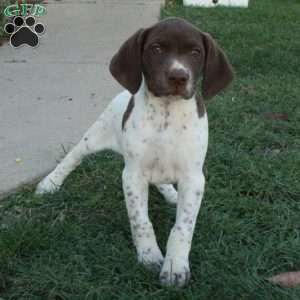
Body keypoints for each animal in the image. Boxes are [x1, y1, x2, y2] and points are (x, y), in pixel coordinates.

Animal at [36, 17, 233, 288]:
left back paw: (171, 193)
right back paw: (50, 182)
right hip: (94, 137)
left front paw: (175, 265)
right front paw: (149, 255)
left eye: (195, 52)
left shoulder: (193, 178)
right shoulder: (133, 176)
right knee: (72, 157)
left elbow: (183, 227)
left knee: (161, 182)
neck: (166, 112)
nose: (178, 76)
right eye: (156, 49)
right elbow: (141, 220)